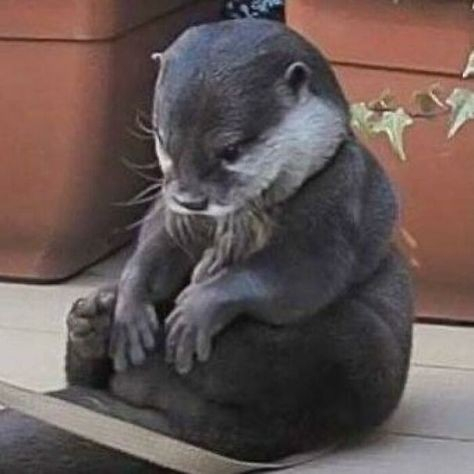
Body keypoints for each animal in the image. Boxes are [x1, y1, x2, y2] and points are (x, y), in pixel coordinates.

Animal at [0, 19, 412, 470]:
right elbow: (152, 256)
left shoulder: (338, 200)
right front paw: (130, 305)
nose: (191, 199)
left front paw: (199, 307)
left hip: (354, 348)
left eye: (230, 149)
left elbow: (293, 277)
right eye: (164, 138)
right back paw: (94, 320)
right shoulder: (168, 215)